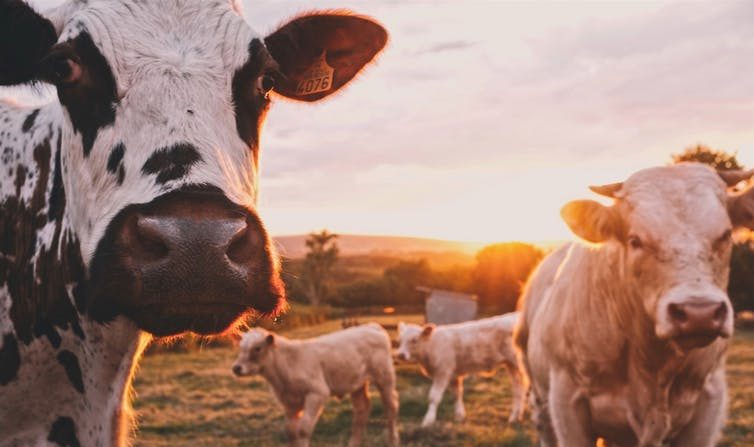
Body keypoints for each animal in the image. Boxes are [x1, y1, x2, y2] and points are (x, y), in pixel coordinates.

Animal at [231, 324, 400, 447]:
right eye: (240, 347)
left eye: (257, 348)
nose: (236, 368)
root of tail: (371, 326)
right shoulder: (289, 402)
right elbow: (291, 431)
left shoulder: (317, 393)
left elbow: (303, 429)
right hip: (357, 383)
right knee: (361, 410)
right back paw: (354, 443)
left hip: (385, 377)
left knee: (390, 407)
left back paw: (393, 441)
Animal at [394, 314, 524, 428]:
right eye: (400, 340)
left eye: (414, 340)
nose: (401, 355)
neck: (432, 346)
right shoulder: (453, 374)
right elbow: (457, 394)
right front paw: (459, 416)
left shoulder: (443, 372)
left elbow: (434, 397)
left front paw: (428, 420)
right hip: (511, 365)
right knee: (518, 388)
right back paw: (515, 417)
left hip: (519, 362)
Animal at [516, 164, 752, 447]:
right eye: (635, 240)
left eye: (725, 235)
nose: (699, 313)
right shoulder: (567, 402)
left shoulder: (708, 401)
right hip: (540, 398)